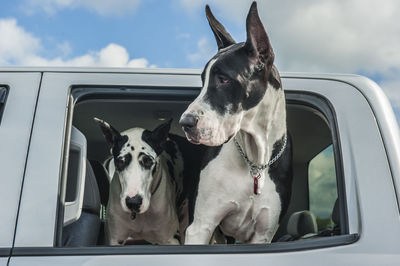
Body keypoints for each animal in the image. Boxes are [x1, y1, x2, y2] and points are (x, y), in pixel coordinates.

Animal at [180, 1, 292, 243]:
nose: (185, 122)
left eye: (223, 79)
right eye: (203, 80)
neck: (254, 161)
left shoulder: (262, 236)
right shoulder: (201, 227)